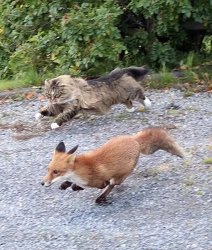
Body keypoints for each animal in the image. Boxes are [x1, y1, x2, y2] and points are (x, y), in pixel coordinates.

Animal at [41, 127, 184, 203]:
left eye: (56, 171)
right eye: (48, 169)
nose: (42, 183)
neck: (82, 171)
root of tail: (134, 139)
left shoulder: (99, 181)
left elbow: (100, 185)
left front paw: (75, 186)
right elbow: (71, 183)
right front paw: (66, 184)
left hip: (121, 175)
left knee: (113, 184)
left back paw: (101, 198)